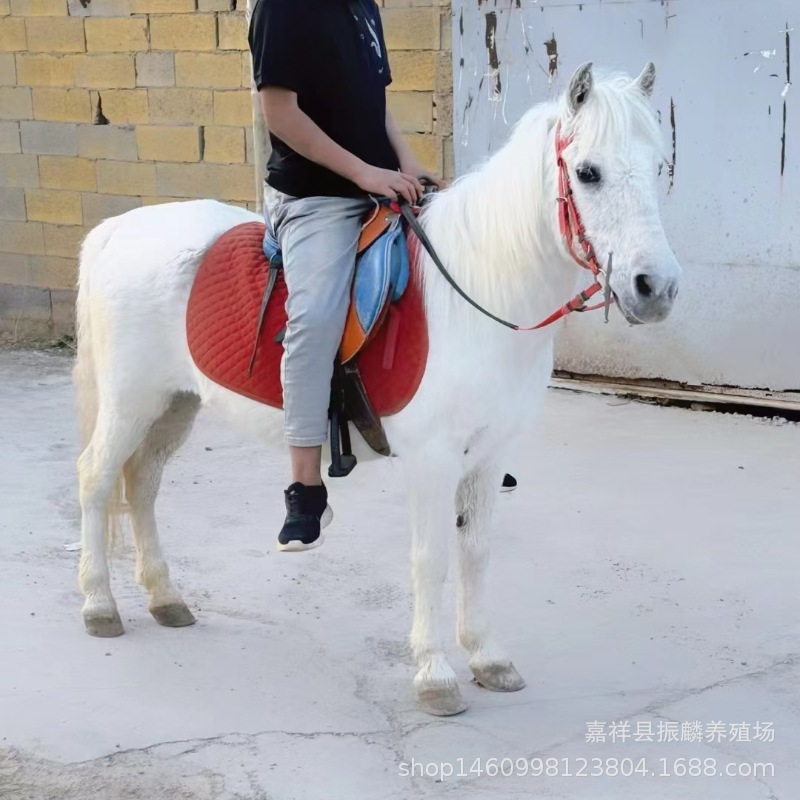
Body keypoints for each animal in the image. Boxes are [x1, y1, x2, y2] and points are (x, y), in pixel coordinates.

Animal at [73, 59, 680, 716]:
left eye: (658, 165)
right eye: (588, 172)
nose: (656, 288)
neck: (480, 288)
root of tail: (117, 229)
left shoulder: (489, 456)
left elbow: (476, 552)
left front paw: (488, 656)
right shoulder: (433, 459)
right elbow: (431, 558)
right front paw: (435, 674)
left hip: (173, 405)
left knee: (142, 484)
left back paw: (164, 598)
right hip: (130, 401)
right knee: (98, 478)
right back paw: (99, 604)